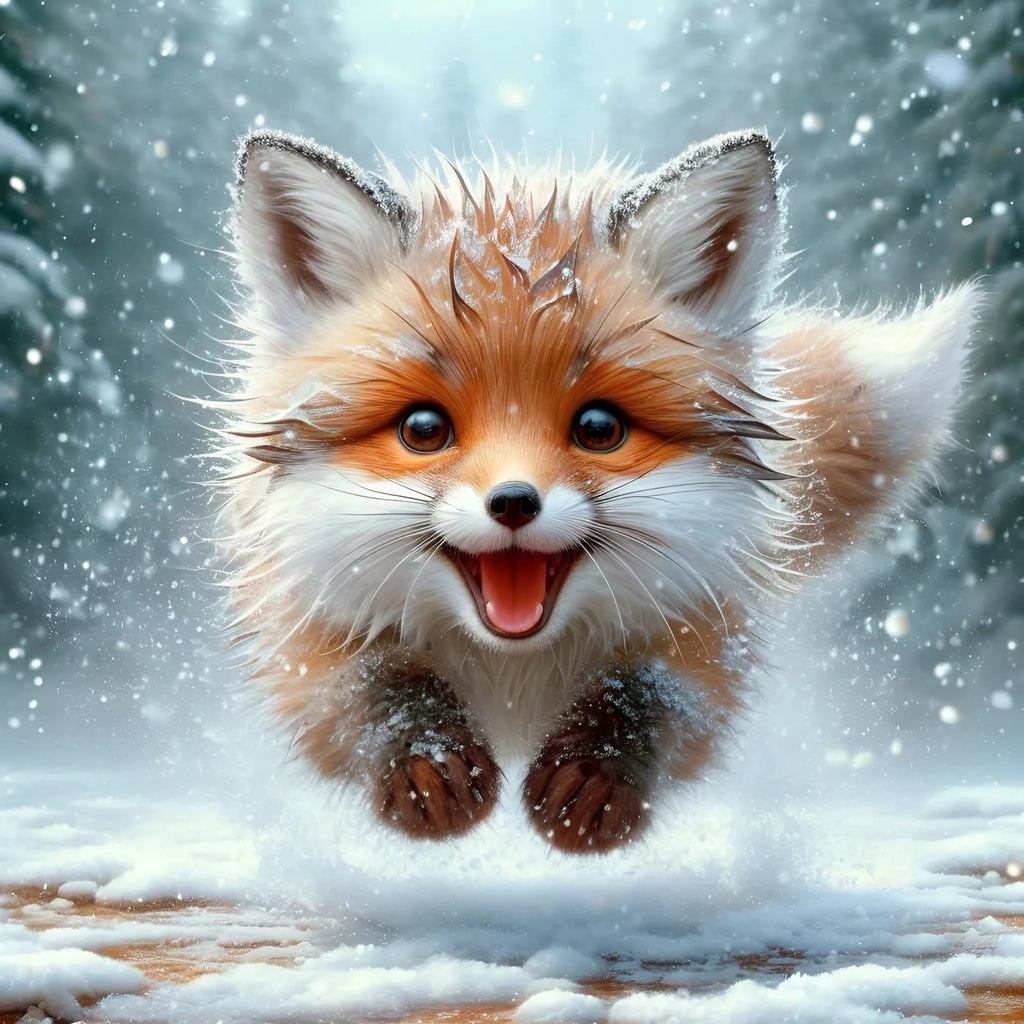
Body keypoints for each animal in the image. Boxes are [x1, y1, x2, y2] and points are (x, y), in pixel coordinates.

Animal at [219, 128, 976, 854]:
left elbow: (648, 699)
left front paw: (594, 781)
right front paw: (427, 763)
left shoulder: (705, 635)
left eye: (598, 428)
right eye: (424, 429)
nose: (514, 502)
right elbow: (373, 692)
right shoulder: (306, 640)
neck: (512, 676)